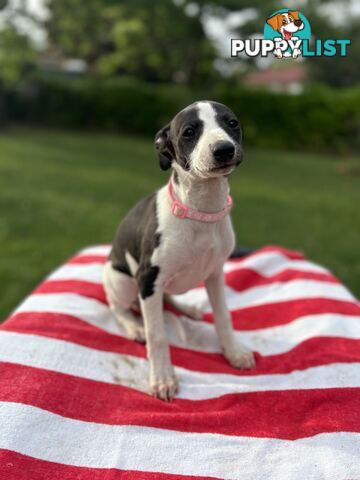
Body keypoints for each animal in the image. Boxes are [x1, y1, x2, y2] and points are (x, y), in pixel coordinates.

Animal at [103, 101, 256, 402]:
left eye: (232, 123)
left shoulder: (215, 273)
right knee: (118, 308)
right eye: (189, 132)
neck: (200, 212)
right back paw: (134, 326)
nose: (223, 149)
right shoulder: (148, 278)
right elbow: (157, 335)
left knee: (167, 299)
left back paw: (187, 309)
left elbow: (224, 316)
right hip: (122, 280)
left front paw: (233, 352)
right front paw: (163, 377)